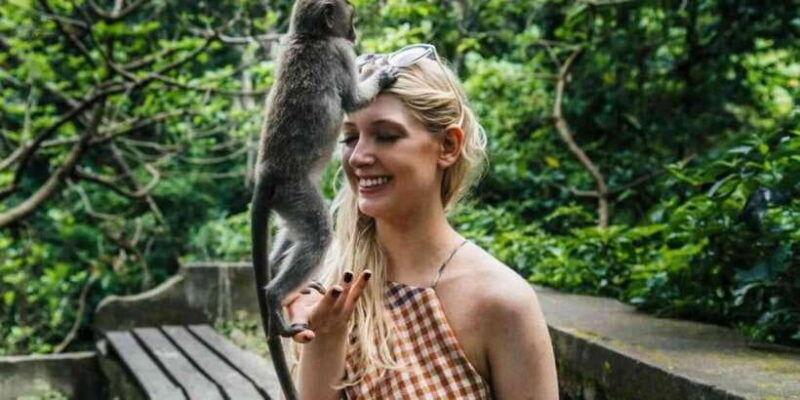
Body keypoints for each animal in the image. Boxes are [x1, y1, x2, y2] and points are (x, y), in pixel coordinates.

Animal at [250, 0, 398, 399]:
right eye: (352, 19)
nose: (355, 34)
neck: (309, 35)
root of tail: (267, 172)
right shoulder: (338, 54)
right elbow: (354, 100)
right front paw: (379, 74)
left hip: (287, 202)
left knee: (295, 234)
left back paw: (280, 279)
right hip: (296, 190)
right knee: (317, 234)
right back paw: (275, 296)